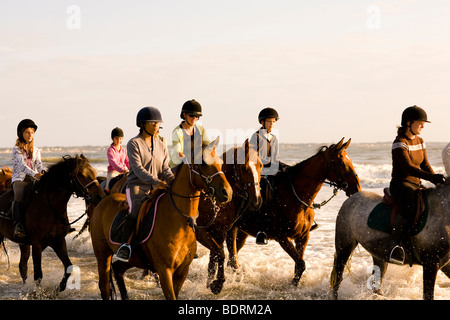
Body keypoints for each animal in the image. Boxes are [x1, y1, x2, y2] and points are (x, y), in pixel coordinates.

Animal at [0, 154, 104, 292]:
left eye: (94, 173)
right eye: (82, 174)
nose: (100, 197)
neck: (49, 206)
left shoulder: (58, 241)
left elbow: (69, 267)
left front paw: (59, 288)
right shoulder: (37, 244)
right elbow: (38, 274)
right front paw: (39, 293)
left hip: (24, 244)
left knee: (23, 266)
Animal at [90, 138, 234, 300]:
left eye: (220, 162)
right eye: (203, 162)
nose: (227, 192)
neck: (179, 220)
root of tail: (103, 202)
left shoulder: (182, 271)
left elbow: (219, 251)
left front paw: (217, 284)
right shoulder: (165, 271)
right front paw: (217, 283)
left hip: (134, 259)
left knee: (118, 269)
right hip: (103, 255)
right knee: (104, 286)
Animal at [197, 140, 264, 296]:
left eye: (261, 165)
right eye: (244, 168)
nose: (257, 200)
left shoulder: (222, 232)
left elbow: (216, 259)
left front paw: (212, 283)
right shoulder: (202, 232)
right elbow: (218, 255)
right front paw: (216, 284)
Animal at [227, 138, 360, 284]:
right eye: (341, 163)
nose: (356, 187)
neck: (296, 197)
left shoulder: (303, 237)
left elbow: (298, 266)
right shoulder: (282, 237)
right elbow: (301, 264)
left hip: (242, 231)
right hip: (231, 229)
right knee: (231, 257)